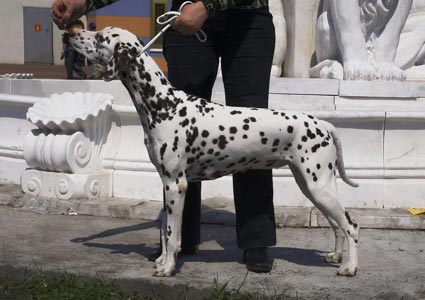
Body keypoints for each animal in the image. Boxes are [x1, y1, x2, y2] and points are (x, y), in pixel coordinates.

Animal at [68, 27, 358, 278]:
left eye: (100, 37)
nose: (71, 32)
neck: (164, 105)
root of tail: (323, 124)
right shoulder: (166, 183)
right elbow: (163, 229)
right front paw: (161, 260)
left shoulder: (176, 184)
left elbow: (172, 234)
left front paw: (168, 268)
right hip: (311, 187)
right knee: (337, 225)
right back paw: (335, 256)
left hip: (319, 186)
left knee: (350, 225)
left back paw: (350, 267)